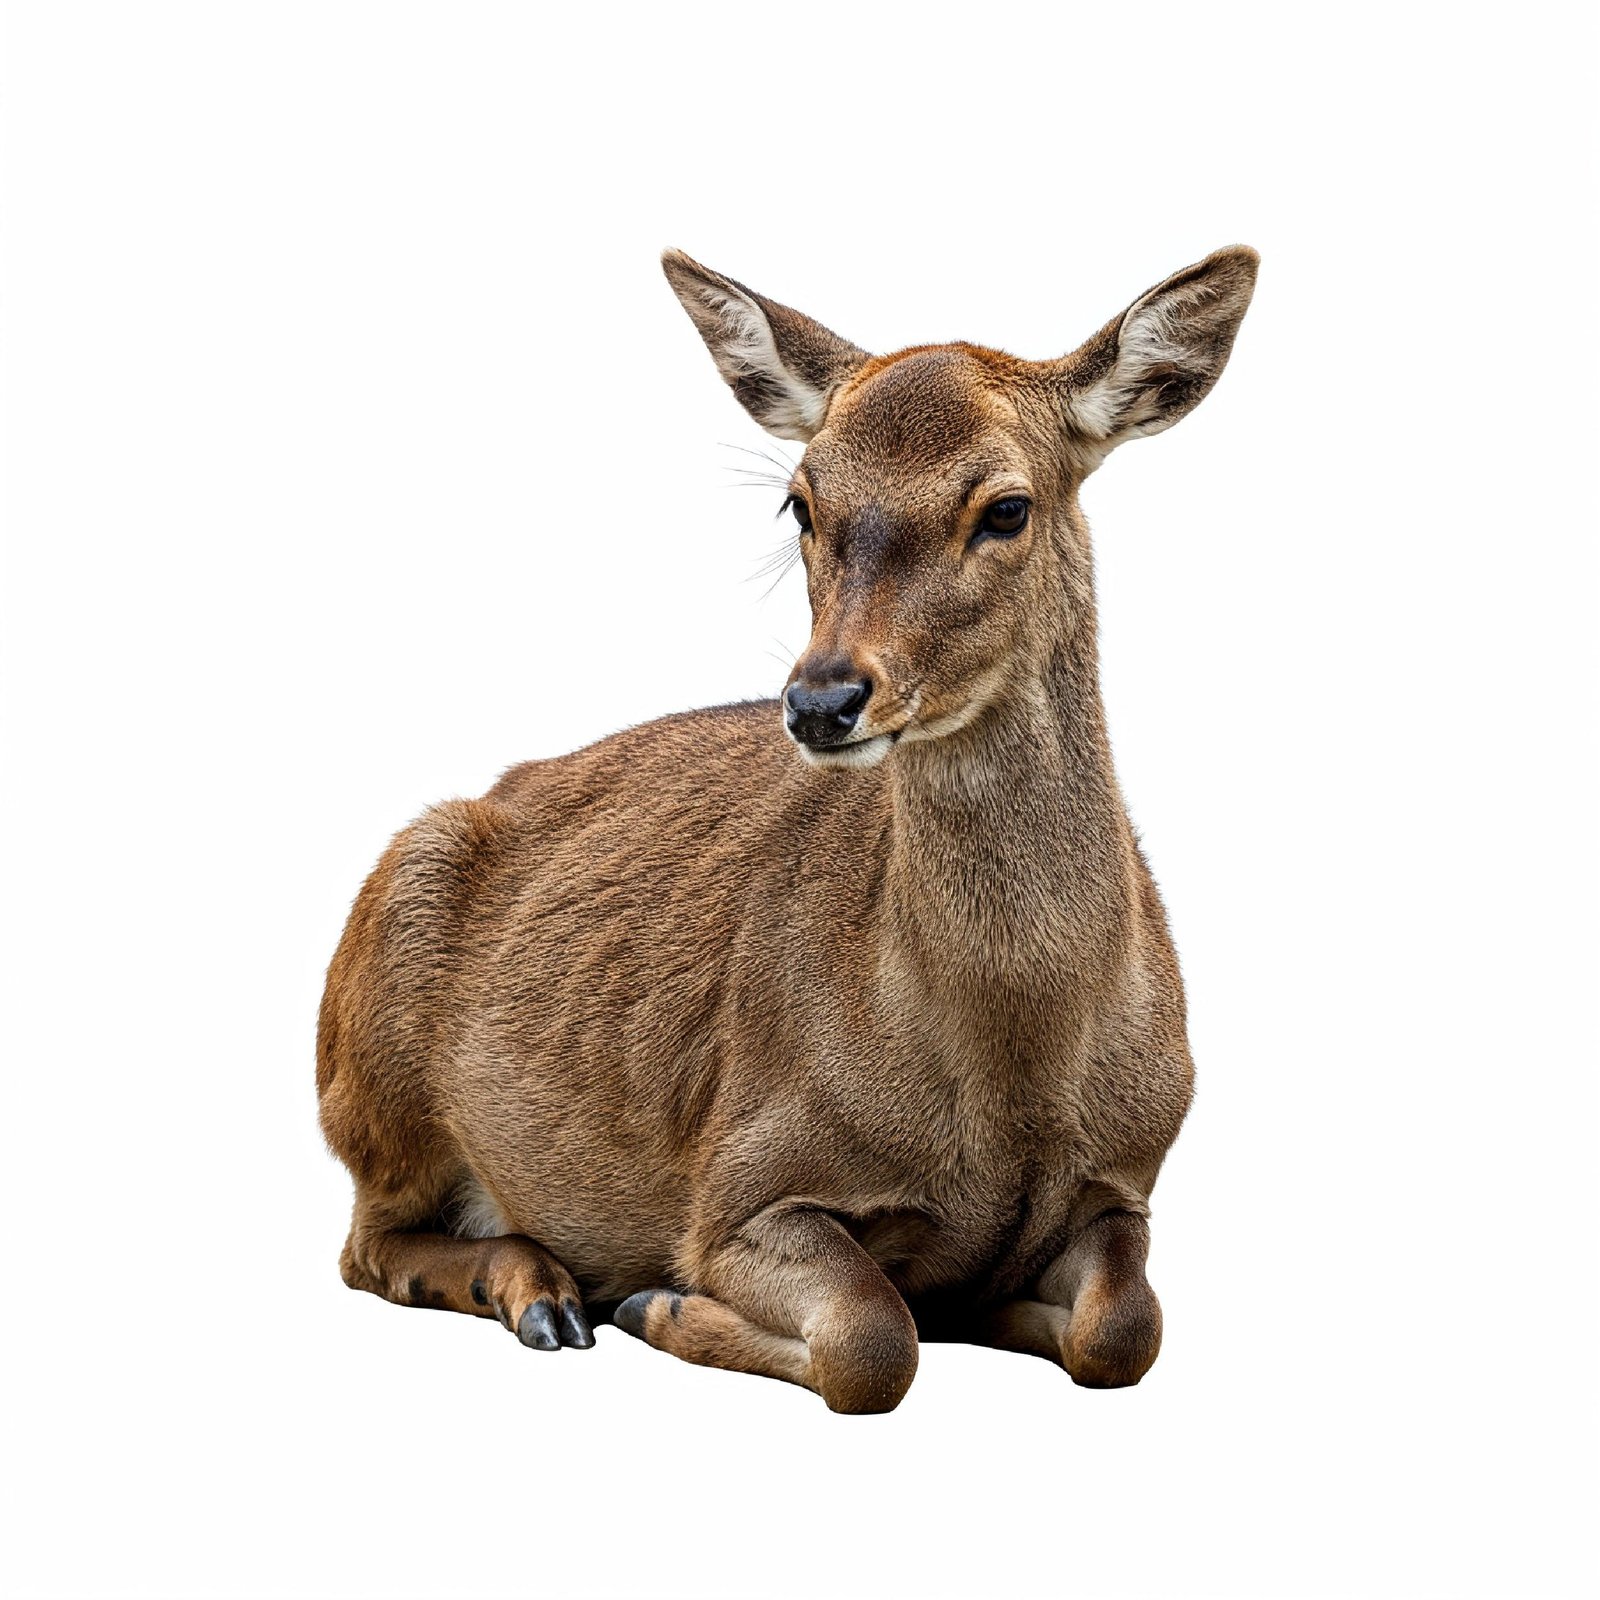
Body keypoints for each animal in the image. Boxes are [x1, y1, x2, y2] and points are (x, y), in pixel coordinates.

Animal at [316, 244, 1259, 1412]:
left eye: (1006, 507)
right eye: (799, 502)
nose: (821, 700)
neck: (1016, 1074)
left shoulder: (1128, 1176)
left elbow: (1125, 1327)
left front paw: (989, 1307)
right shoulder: (742, 1178)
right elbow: (869, 1338)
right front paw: (657, 1303)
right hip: (377, 1054)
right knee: (367, 1242)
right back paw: (547, 1295)